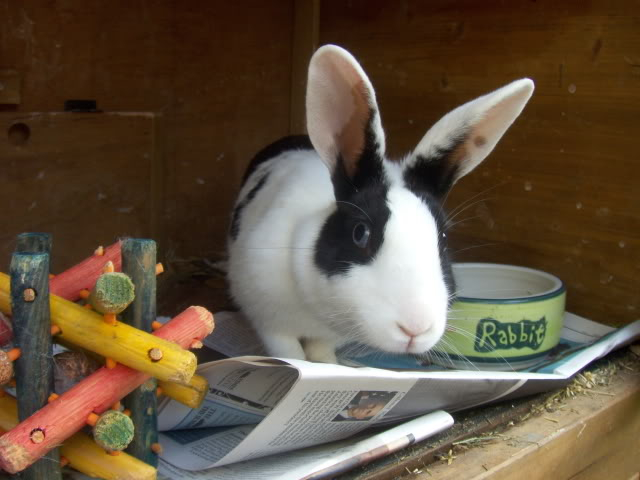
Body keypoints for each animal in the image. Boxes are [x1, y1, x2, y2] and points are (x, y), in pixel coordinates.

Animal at [228, 46, 532, 364]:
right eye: (360, 233)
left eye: (443, 238)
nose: (415, 328)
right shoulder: (272, 324)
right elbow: (290, 354)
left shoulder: (327, 336)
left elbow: (321, 353)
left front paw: (333, 367)